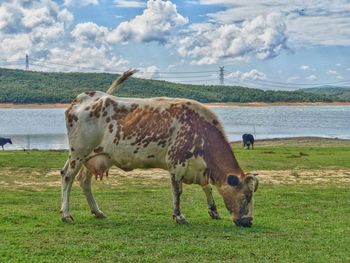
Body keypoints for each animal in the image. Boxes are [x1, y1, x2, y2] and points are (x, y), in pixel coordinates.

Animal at [59, 70, 258, 229]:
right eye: (246, 196)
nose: (248, 221)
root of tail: (84, 97)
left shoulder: (199, 168)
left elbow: (207, 187)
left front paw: (214, 212)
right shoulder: (177, 162)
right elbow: (177, 191)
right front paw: (179, 217)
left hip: (92, 157)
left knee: (84, 182)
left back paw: (97, 212)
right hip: (79, 152)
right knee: (67, 177)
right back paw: (66, 214)